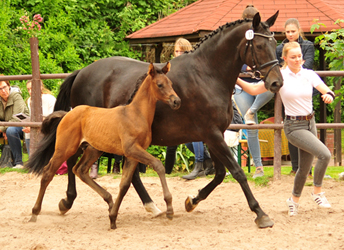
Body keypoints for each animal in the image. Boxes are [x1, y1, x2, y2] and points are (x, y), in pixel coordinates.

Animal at [27, 63, 181, 229]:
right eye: (160, 84)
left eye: (171, 84)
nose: (176, 101)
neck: (135, 114)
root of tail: (67, 114)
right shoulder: (132, 149)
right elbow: (158, 165)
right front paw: (169, 209)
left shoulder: (132, 155)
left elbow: (125, 184)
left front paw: (113, 217)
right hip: (64, 148)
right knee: (48, 173)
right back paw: (35, 213)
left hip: (93, 150)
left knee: (80, 170)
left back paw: (109, 200)